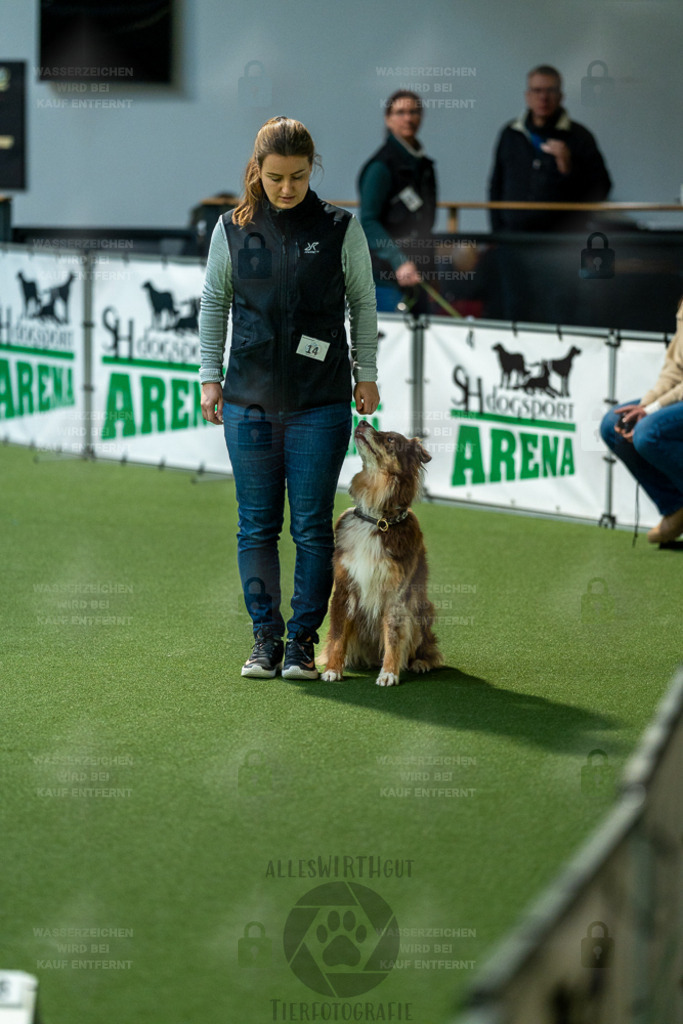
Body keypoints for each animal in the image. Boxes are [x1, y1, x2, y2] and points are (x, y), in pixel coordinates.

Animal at [321, 415, 444, 688]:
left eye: (390, 439)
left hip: (421, 609)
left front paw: (389, 673)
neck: (378, 519)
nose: (363, 421)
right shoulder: (344, 587)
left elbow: (393, 636)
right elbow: (337, 635)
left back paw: (420, 663)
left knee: (429, 648)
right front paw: (333, 669)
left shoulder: (397, 594)